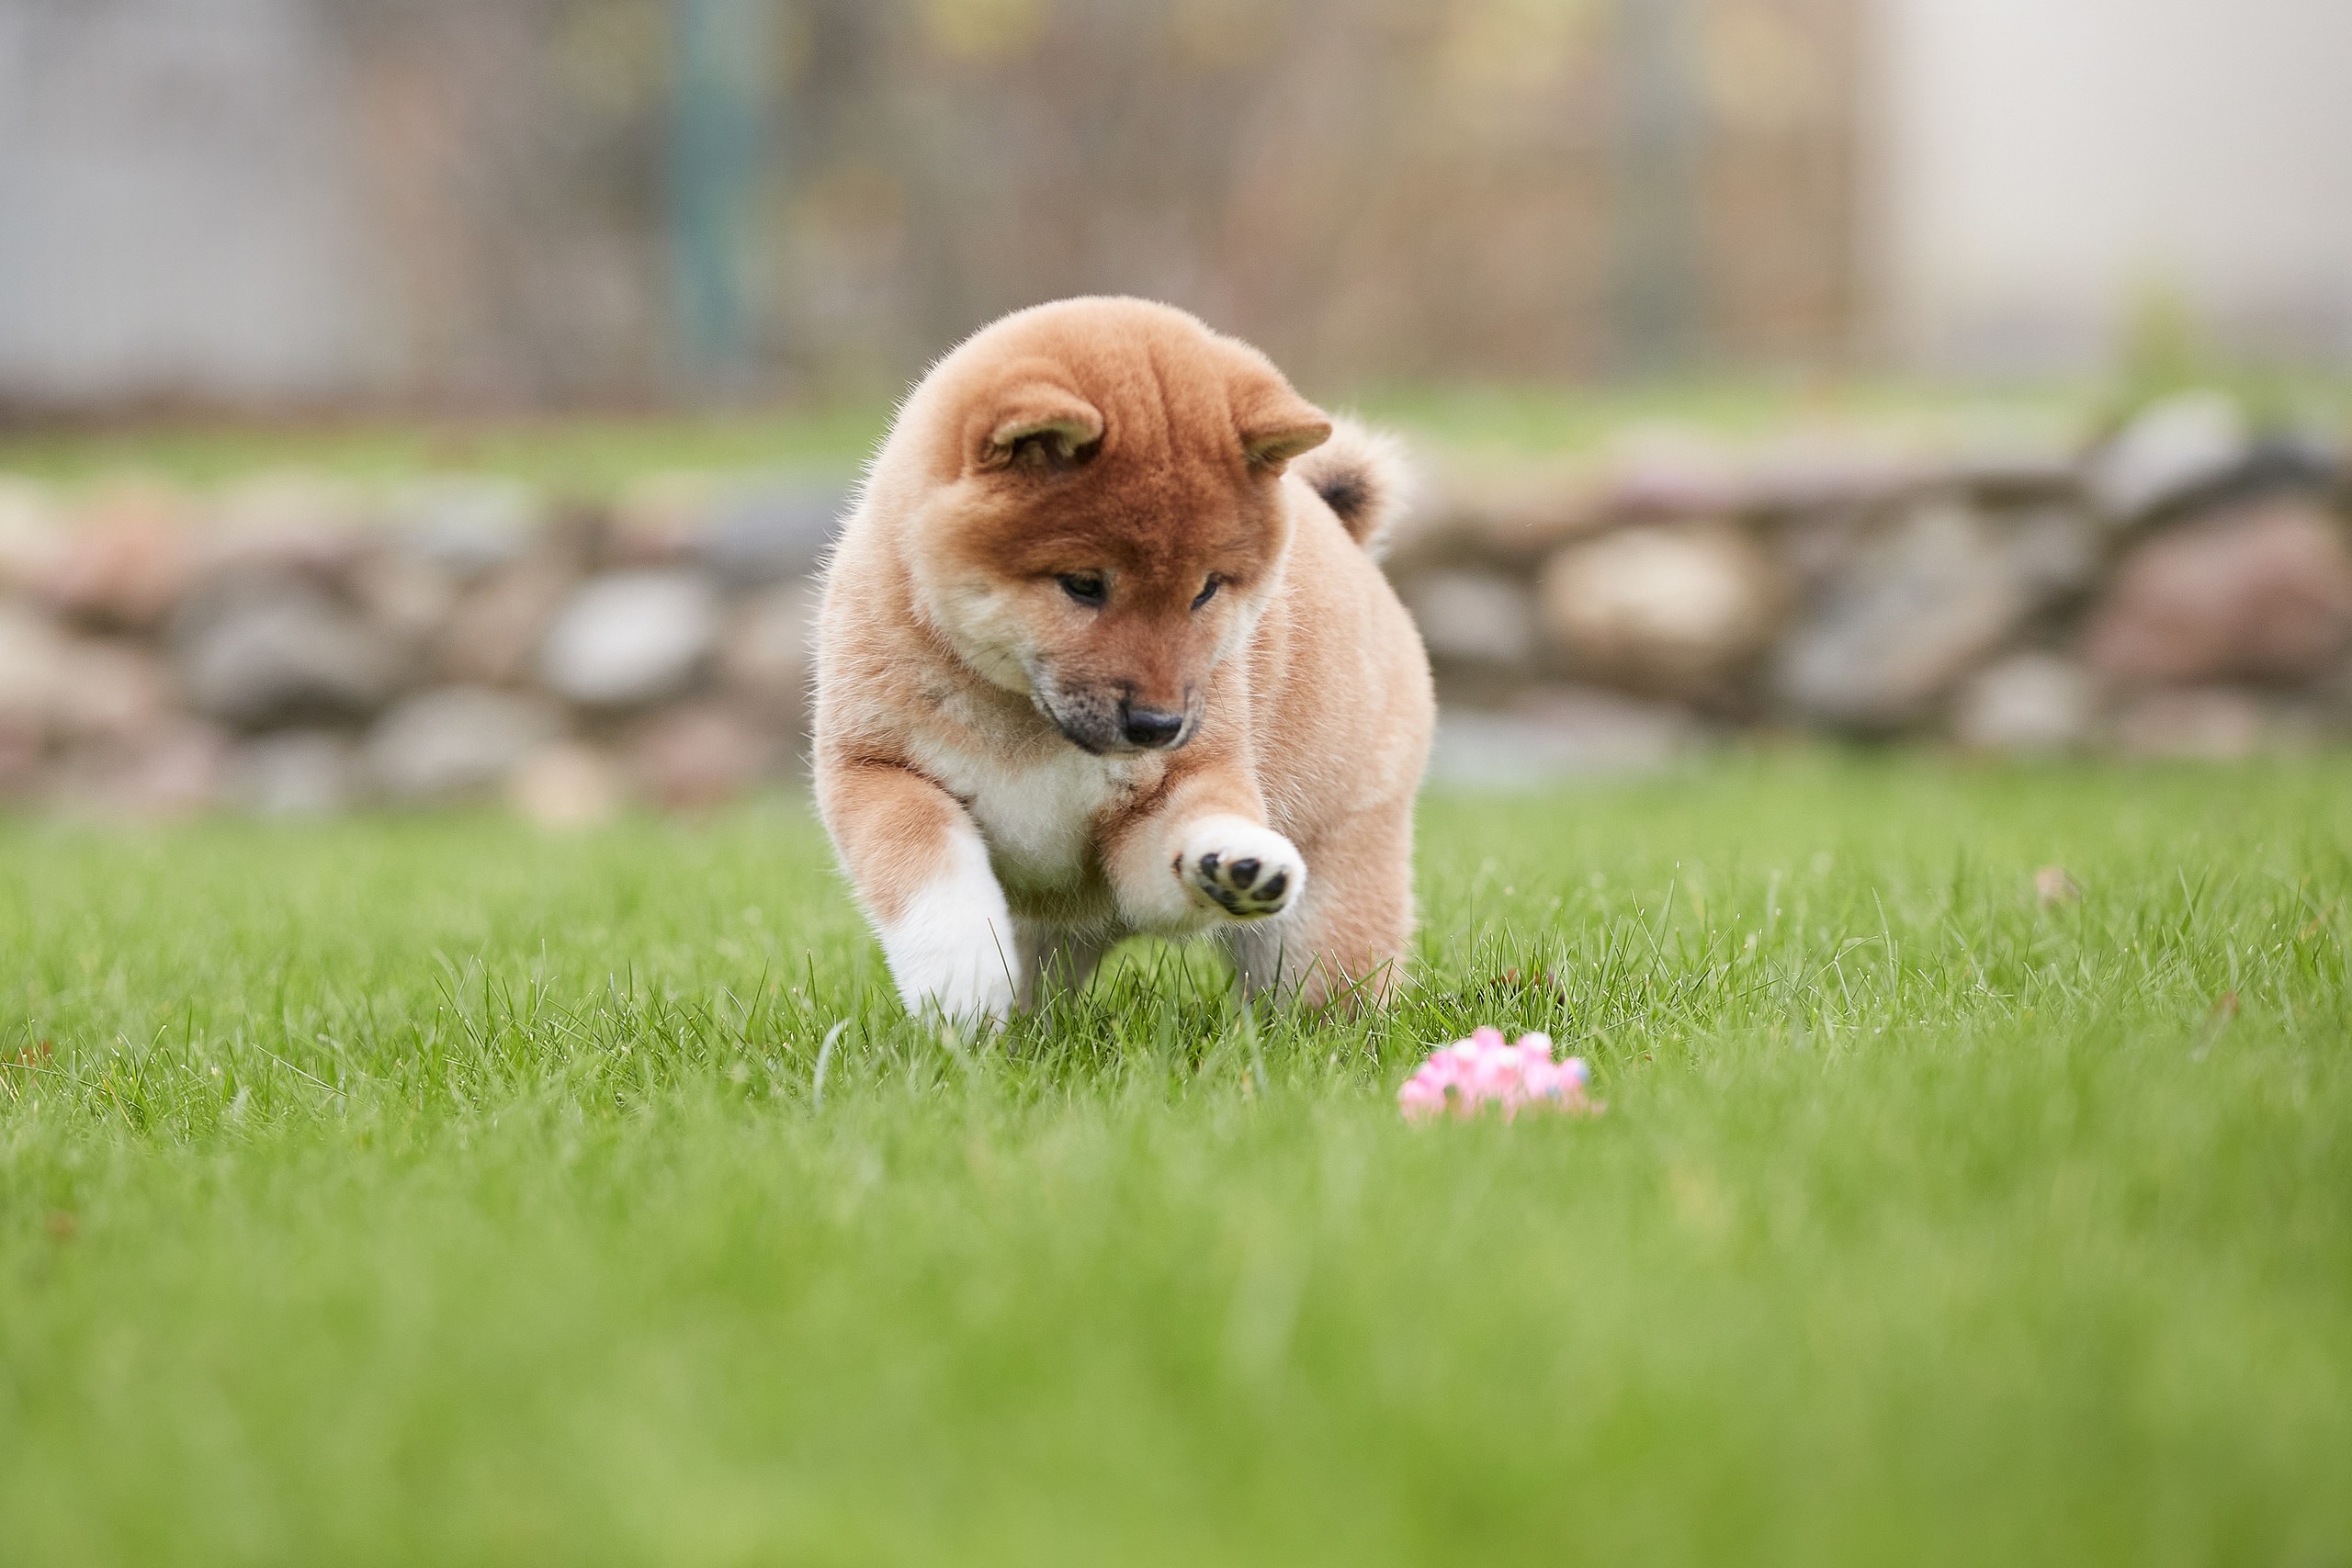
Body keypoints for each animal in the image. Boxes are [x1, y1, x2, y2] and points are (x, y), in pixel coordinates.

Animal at [808, 299, 1430, 1024]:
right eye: (1083, 584)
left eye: (1206, 590)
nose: (1158, 726)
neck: (1025, 724)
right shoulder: (875, 767)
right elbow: (926, 859)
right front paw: (960, 977)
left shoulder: (1158, 807)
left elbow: (1187, 831)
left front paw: (1232, 861)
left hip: (1324, 920)